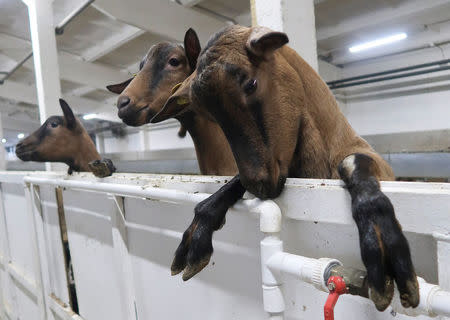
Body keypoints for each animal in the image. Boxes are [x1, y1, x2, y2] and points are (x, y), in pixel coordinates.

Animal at [154, 25, 418, 312]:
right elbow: (232, 183)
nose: (258, 184)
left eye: (251, 83)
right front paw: (196, 237)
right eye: (209, 113)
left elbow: (351, 162)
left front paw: (381, 245)